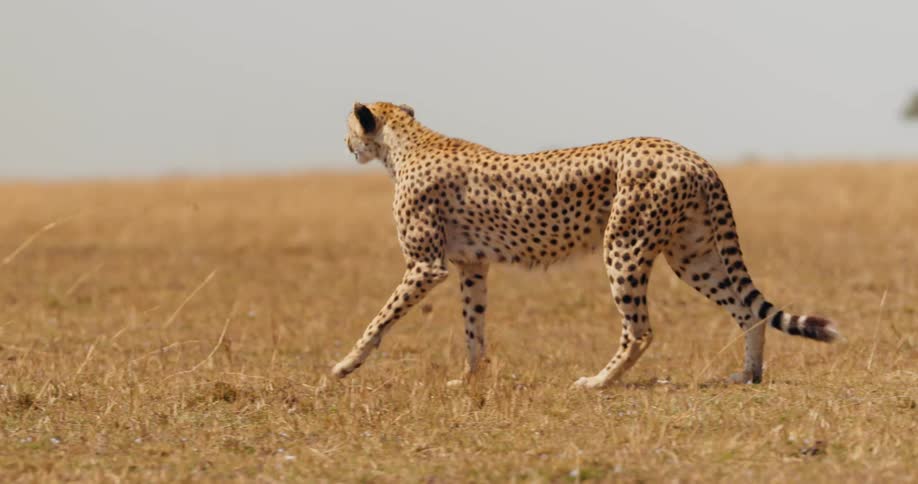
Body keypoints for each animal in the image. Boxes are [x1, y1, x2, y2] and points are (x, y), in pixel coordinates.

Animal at [333, 101, 839, 388]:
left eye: (350, 129)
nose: (346, 145)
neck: (407, 144)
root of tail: (690, 153)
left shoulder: (426, 265)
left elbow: (379, 319)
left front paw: (344, 365)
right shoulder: (472, 265)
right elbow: (473, 329)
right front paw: (469, 380)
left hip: (625, 246)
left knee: (640, 329)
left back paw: (598, 381)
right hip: (692, 254)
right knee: (748, 311)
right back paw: (749, 375)